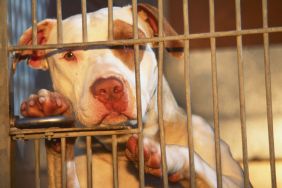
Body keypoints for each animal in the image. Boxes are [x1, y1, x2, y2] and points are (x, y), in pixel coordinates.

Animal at [17, 3, 246, 188]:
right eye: (69, 54)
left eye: (128, 44)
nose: (108, 88)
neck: (119, 148)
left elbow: (197, 161)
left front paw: (165, 154)